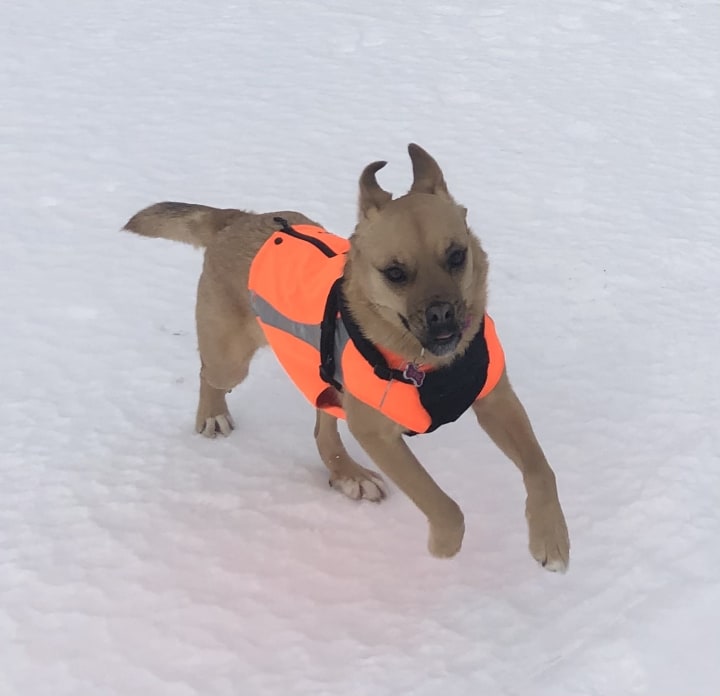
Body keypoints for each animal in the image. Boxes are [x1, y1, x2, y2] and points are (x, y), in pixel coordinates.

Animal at [124, 144, 570, 571]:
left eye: (457, 256)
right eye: (395, 273)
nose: (443, 315)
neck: (427, 365)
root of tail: (236, 220)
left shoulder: (496, 400)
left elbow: (541, 469)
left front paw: (551, 539)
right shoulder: (376, 433)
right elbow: (442, 503)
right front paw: (445, 544)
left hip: (325, 379)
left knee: (323, 429)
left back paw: (347, 474)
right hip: (231, 360)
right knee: (210, 375)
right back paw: (213, 415)